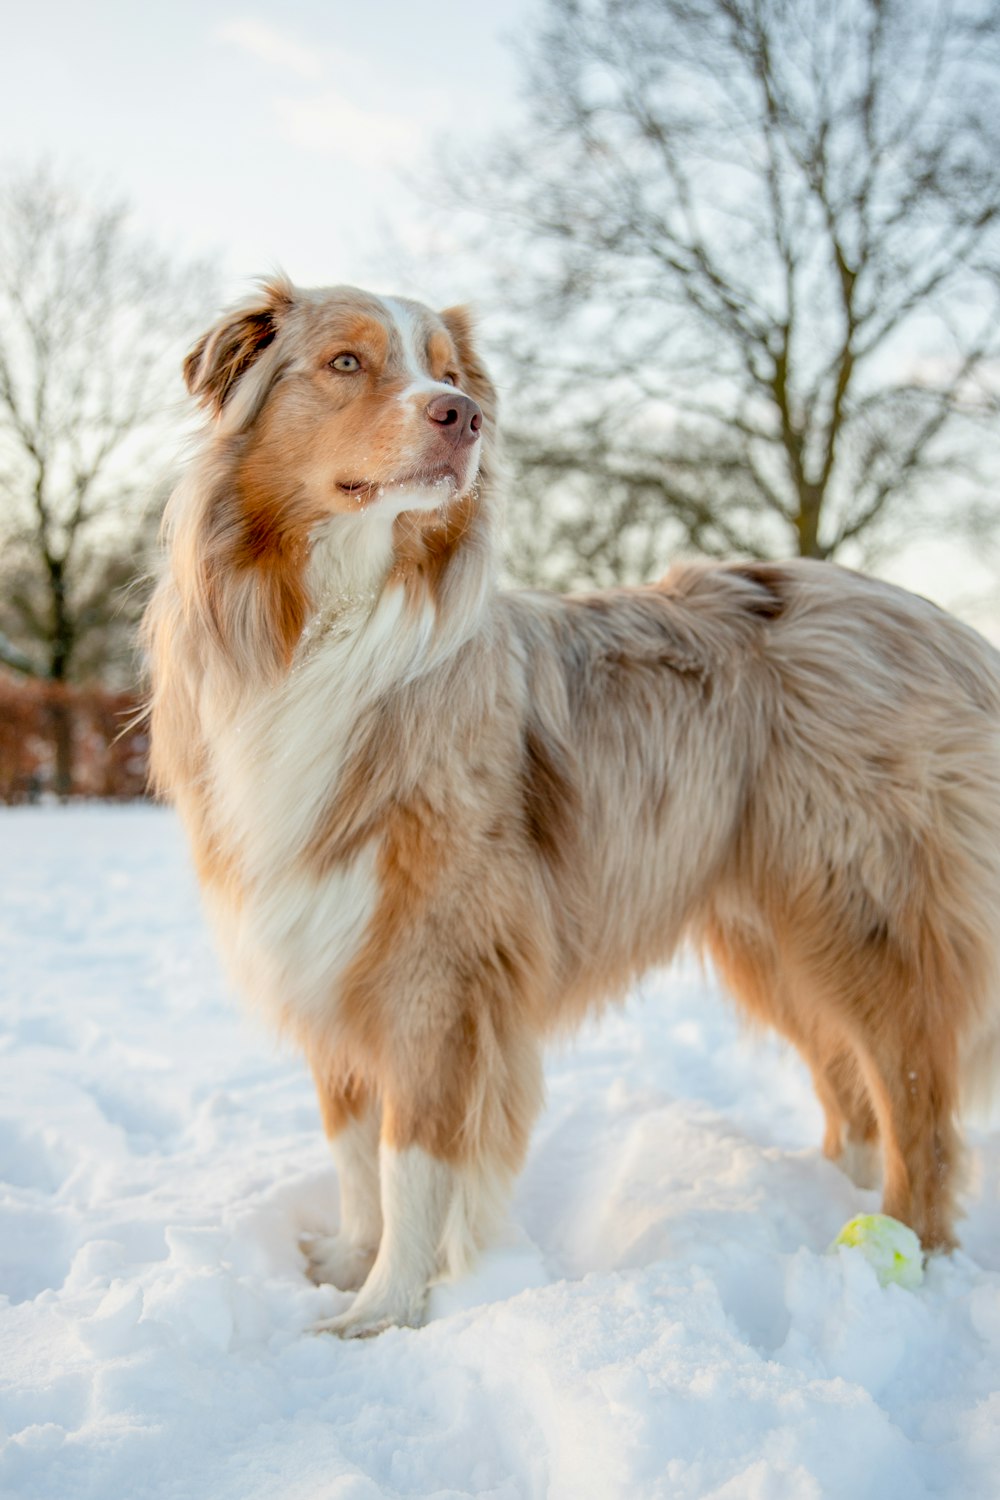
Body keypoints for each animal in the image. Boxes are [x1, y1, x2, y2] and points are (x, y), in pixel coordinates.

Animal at [144, 282, 1000, 1338]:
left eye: (452, 373)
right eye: (346, 362)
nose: (461, 416)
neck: (336, 626)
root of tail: (940, 621)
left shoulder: (439, 966)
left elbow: (410, 1154)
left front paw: (382, 1312)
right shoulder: (322, 936)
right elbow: (349, 1141)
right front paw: (349, 1261)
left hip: (859, 919)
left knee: (918, 1110)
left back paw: (901, 1258)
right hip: (771, 934)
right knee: (853, 1091)